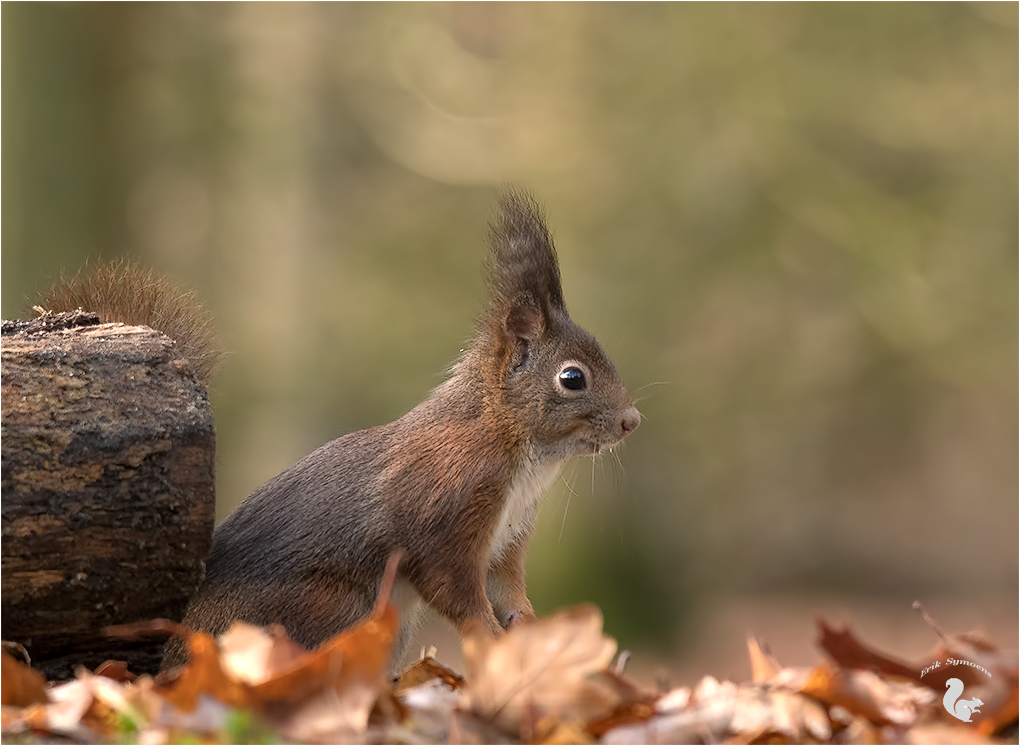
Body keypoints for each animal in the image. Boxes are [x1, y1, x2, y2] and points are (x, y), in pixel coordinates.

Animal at [45, 189, 644, 669]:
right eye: (572, 378)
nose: (631, 421)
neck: (517, 449)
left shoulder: (504, 543)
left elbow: (510, 593)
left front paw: (534, 634)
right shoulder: (443, 517)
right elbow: (459, 597)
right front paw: (495, 643)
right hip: (332, 611)